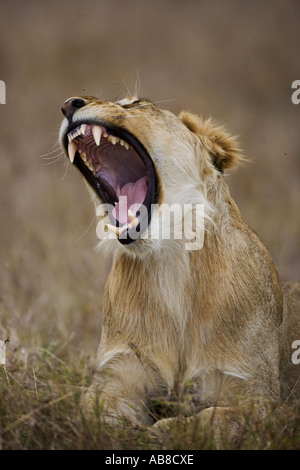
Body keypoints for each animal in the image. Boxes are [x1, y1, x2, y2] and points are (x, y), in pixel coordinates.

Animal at [59, 95, 300, 448]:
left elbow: (215, 420)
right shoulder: (117, 373)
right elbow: (91, 411)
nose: (68, 104)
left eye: (135, 103)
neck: (171, 262)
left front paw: (163, 432)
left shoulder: (258, 396)